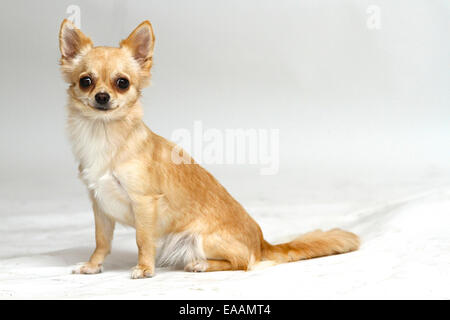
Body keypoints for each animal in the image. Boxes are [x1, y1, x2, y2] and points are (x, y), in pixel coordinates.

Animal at [59, 19, 358, 278]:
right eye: (86, 81)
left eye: (122, 83)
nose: (102, 96)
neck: (104, 134)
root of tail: (262, 243)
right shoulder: (100, 204)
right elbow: (101, 241)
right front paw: (93, 265)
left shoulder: (144, 202)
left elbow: (143, 240)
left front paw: (144, 269)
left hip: (201, 238)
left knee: (244, 263)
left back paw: (201, 264)